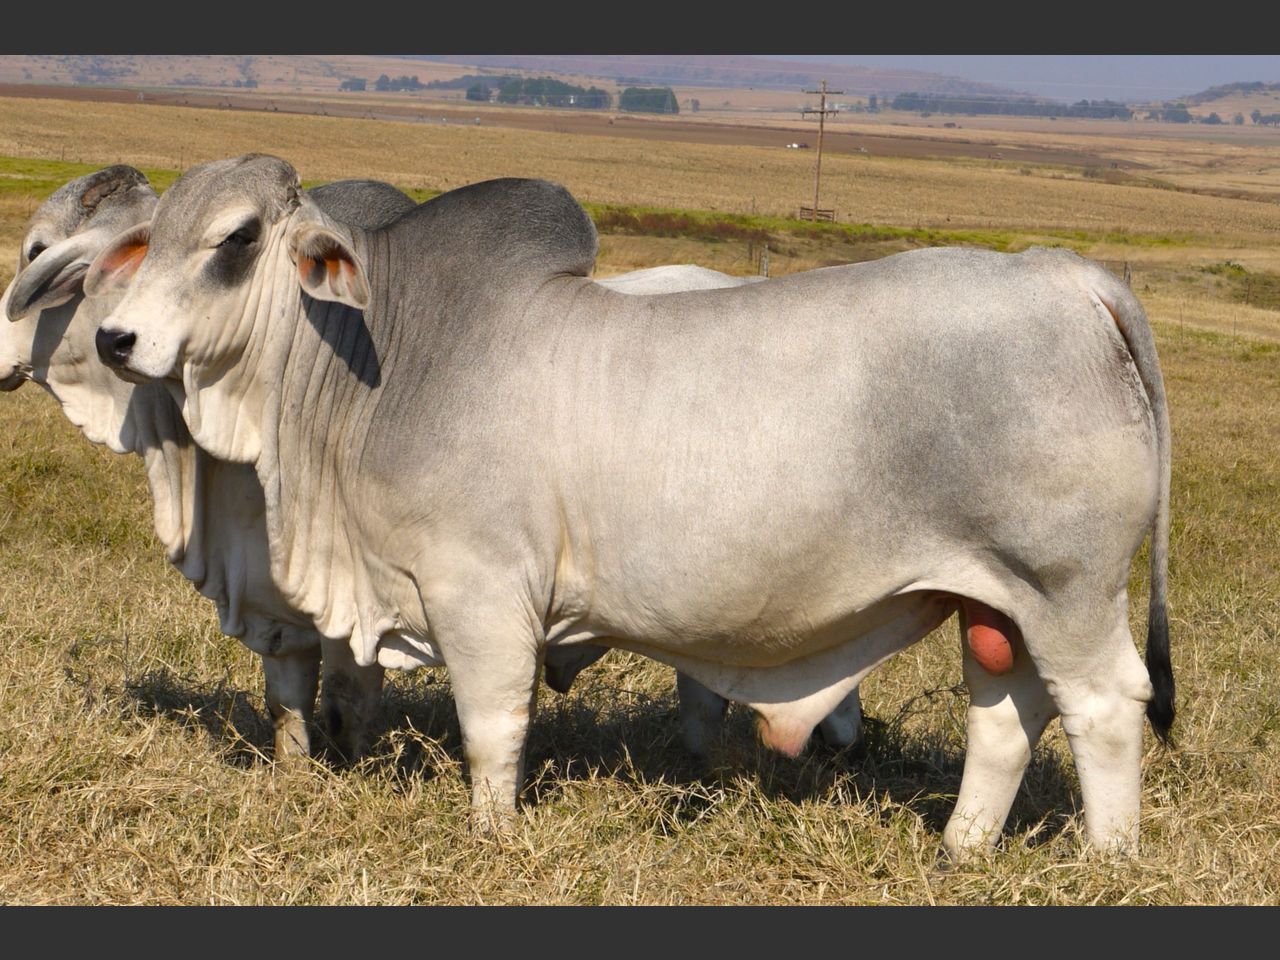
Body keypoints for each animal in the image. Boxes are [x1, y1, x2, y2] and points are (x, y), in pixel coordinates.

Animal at [89, 154, 1171, 858]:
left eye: (236, 239)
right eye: (153, 237)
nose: (114, 338)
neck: (390, 354)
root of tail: (1061, 273)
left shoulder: (481, 594)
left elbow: (492, 725)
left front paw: (493, 837)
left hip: (1066, 589)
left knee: (1104, 708)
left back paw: (1104, 860)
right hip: (1000, 601)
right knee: (1007, 715)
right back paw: (961, 848)